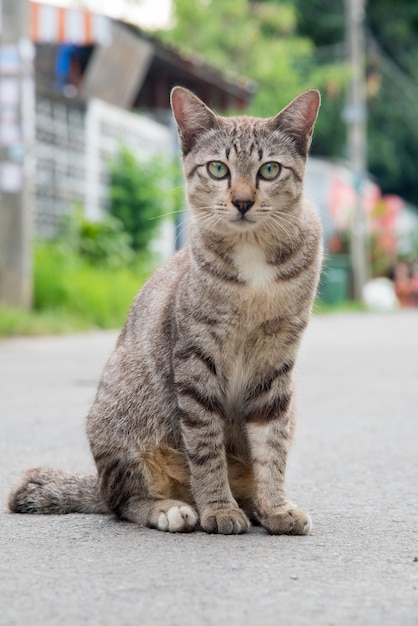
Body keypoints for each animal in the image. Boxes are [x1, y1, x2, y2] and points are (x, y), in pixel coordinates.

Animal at [9, 88, 324, 532]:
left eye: (269, 170)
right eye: (218, 169)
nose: (243, 201)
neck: (253, 259)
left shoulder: (276, 361)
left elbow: (272, 445)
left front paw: (275, 506)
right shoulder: (194, 357)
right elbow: (205, 447)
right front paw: (218, 508)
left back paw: (255, 506)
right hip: (120, 425)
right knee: (123, 502)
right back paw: (171, 508)